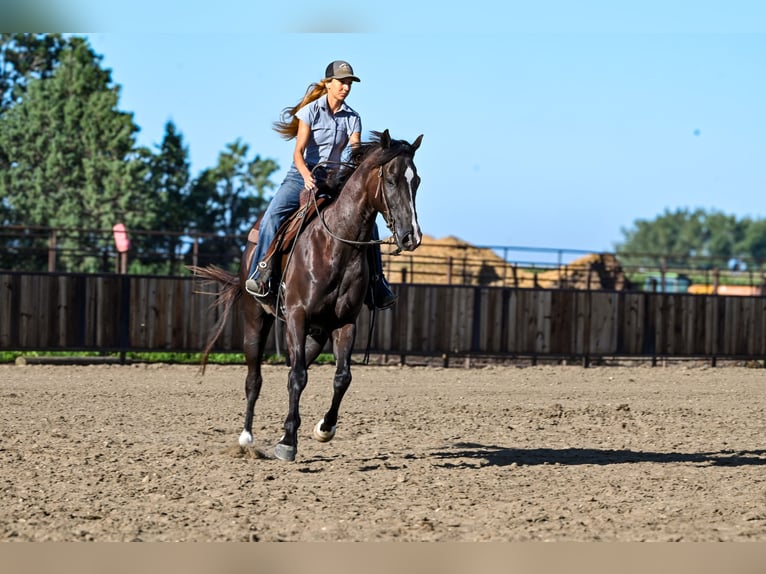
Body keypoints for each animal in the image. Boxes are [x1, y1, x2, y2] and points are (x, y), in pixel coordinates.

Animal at [190, 130, 423, 461]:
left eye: (416, 181)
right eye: (391, 180)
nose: (411, 237)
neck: (336, 245)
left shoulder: (345, 323)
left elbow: (341, 377)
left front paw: (323, 428)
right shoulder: (297, 317)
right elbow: (298, 377)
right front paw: (288, 442)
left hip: (317, 332)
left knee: (295, 370)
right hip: (256, 318)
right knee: (255, 377)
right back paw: (246, 439)